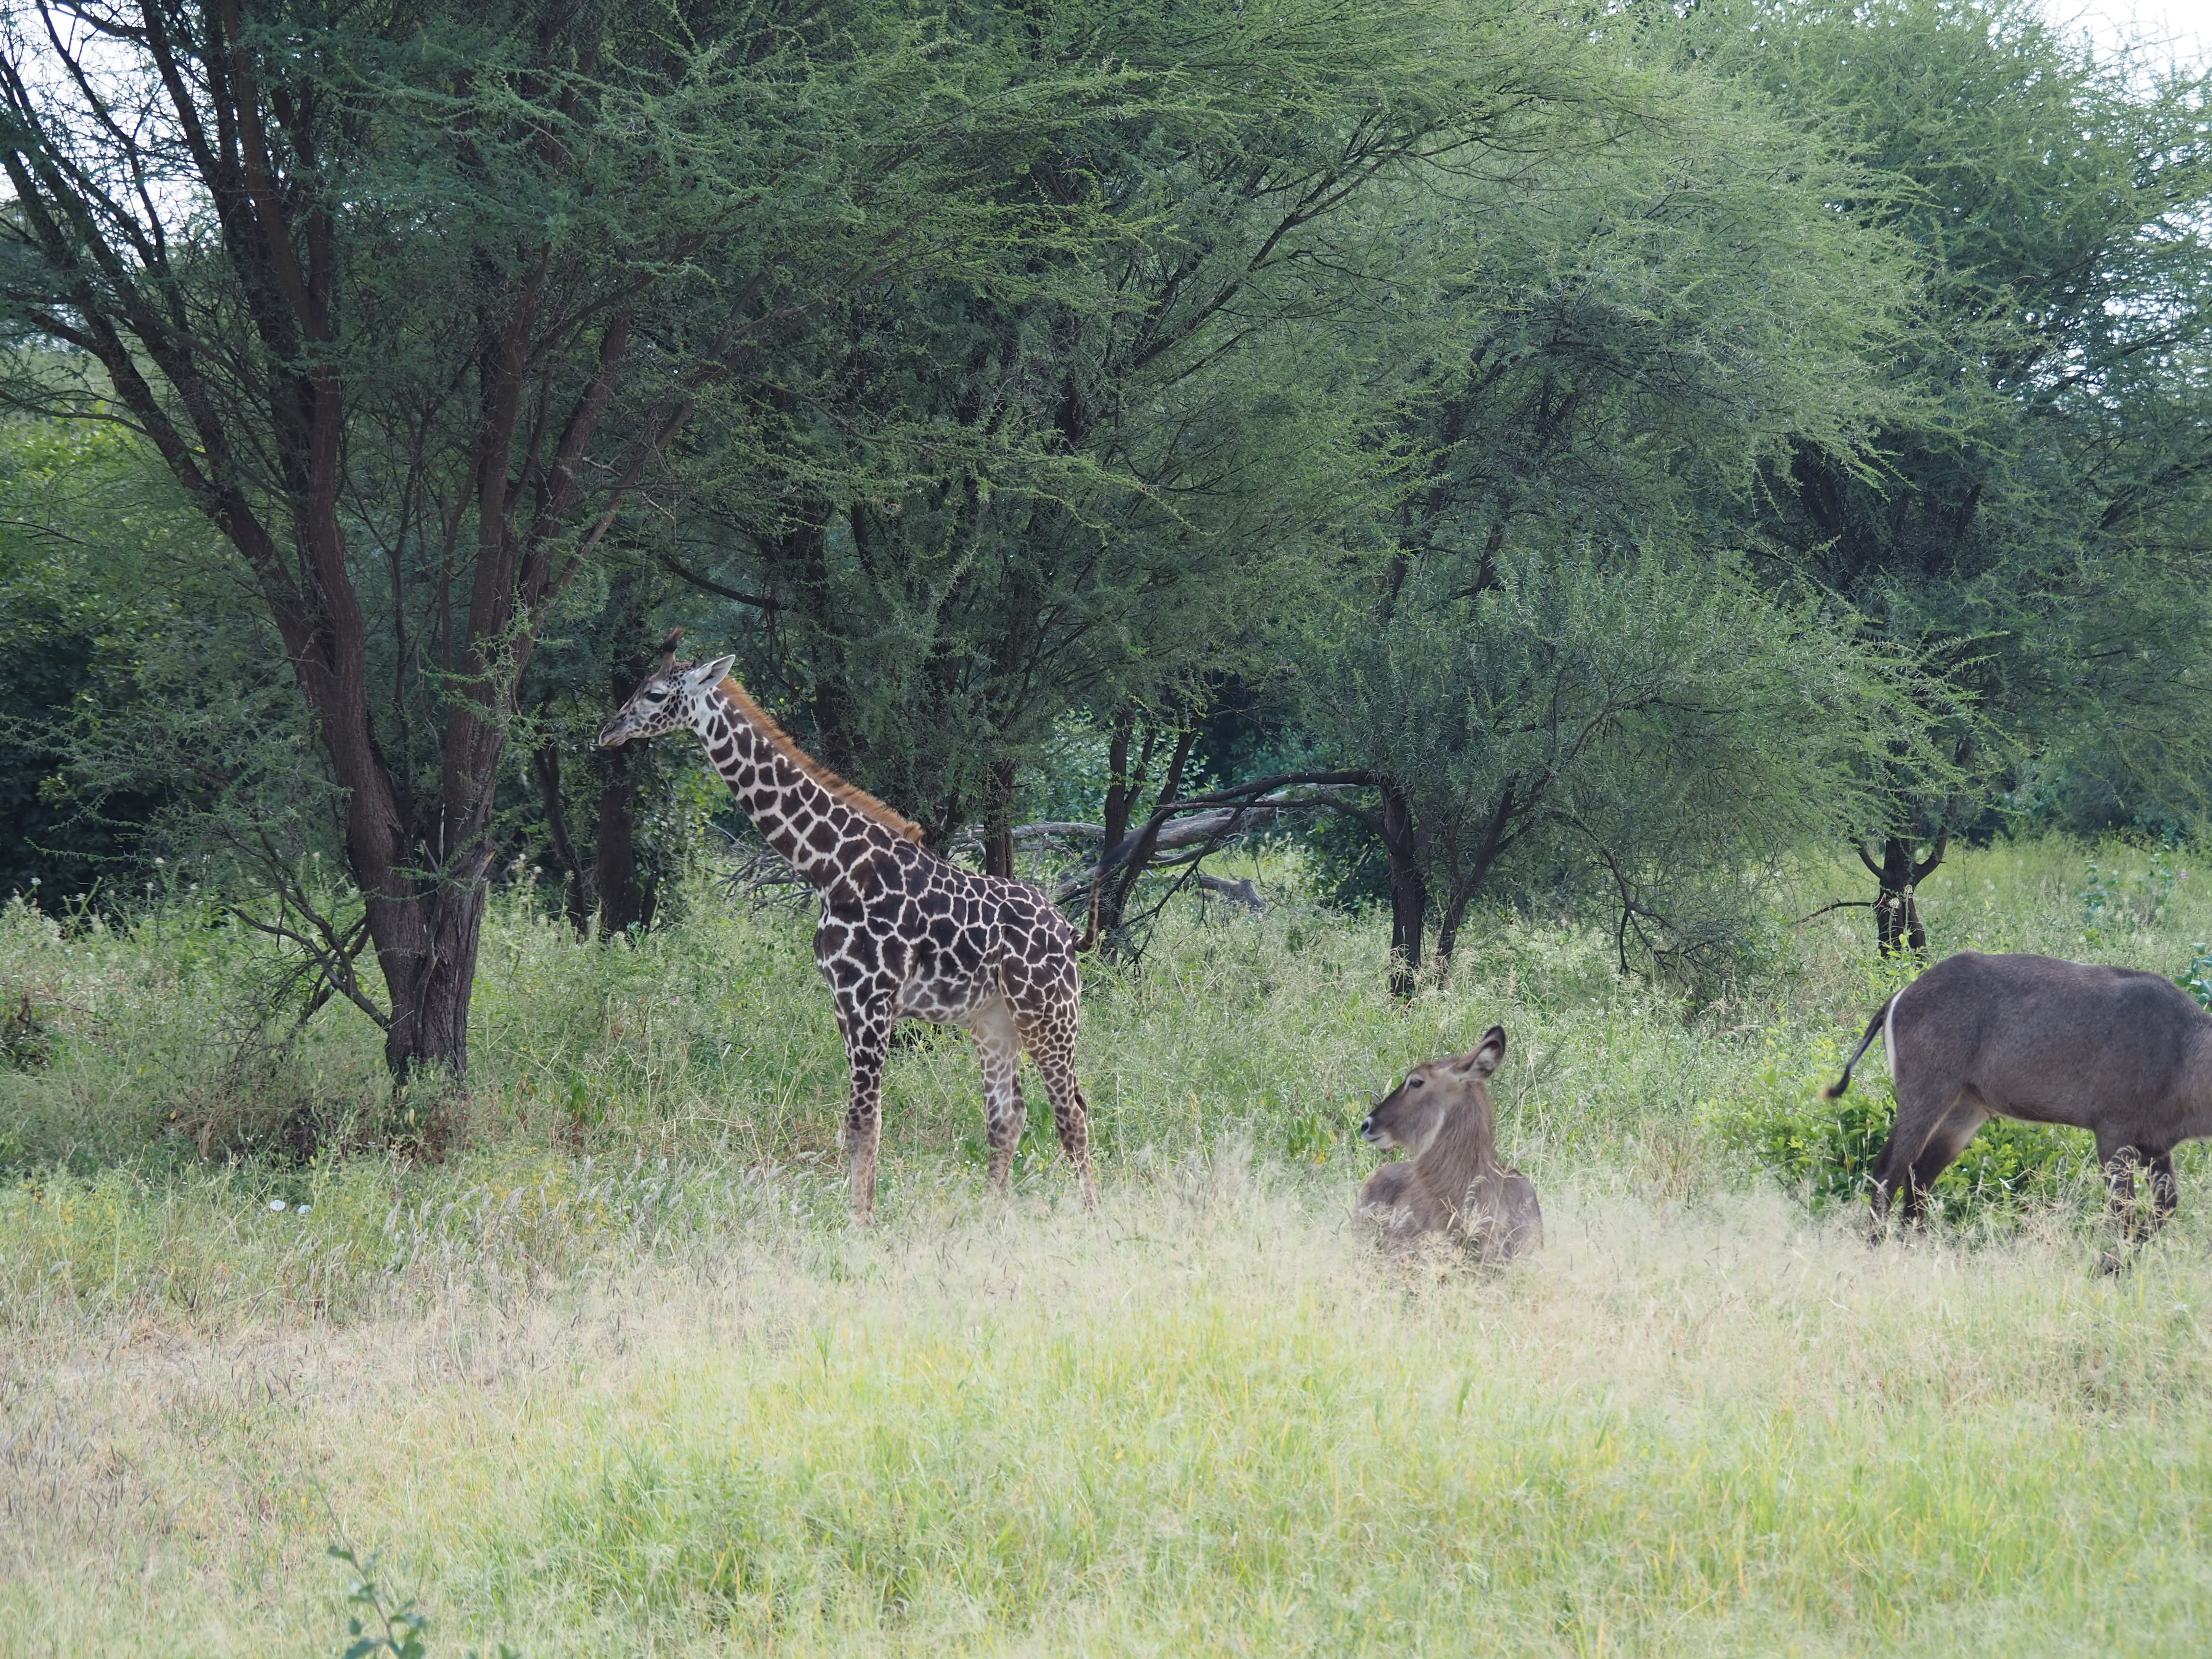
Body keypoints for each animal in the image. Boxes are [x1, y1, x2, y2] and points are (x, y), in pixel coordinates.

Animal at [599, 637, 1097, 1220]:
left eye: (655, 693)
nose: (609, 730)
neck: (830, 868)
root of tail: (1068, 933)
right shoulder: (843, 1002)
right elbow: (861, 1123)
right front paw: (861, 1214)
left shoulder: (871, 1000)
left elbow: (864, 1122)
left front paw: (860, 1224)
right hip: (993, 1020)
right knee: (1008, 1113)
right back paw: (991, 1217)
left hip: (1048, 1014)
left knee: (1072, 1111)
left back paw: (1091, 1216)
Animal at [1825, 950, 2212, 1249]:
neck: (2181, 1050)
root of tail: (1901, 994)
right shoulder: (2115, 1135)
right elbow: (2123, 1212)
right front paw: (2110, 1269)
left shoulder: (2155, 1147)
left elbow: (2167, 1205)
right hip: (1928, 1092)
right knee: (1888, 1168)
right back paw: (1878, 1247)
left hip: (1967, 1109)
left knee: (1920, 1173)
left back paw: (1914, 1247)